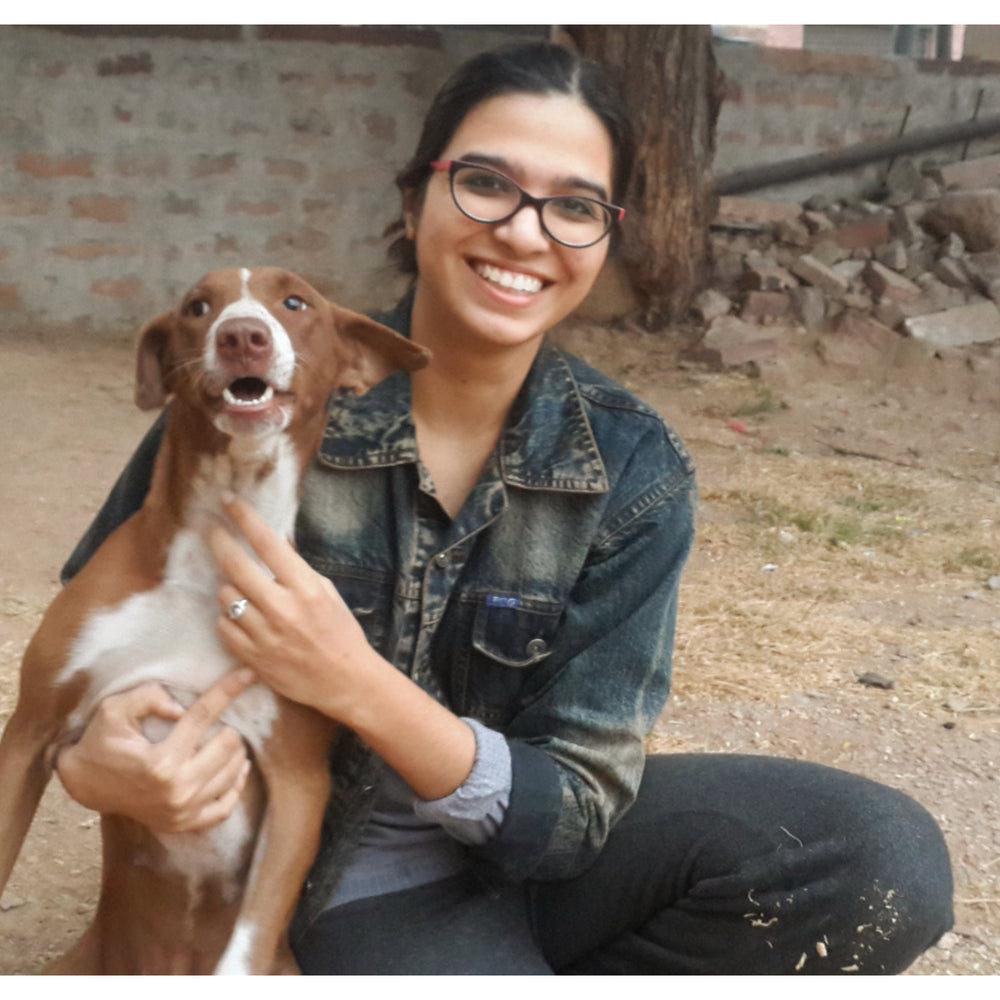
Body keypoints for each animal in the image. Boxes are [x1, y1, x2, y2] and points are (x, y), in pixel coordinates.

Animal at [0, 268, 426, 976]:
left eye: (295, 302)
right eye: (198, 308)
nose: (243, 335)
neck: (214, 552)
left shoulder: (299, 781)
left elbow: (247, 947)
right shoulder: (31, 732)